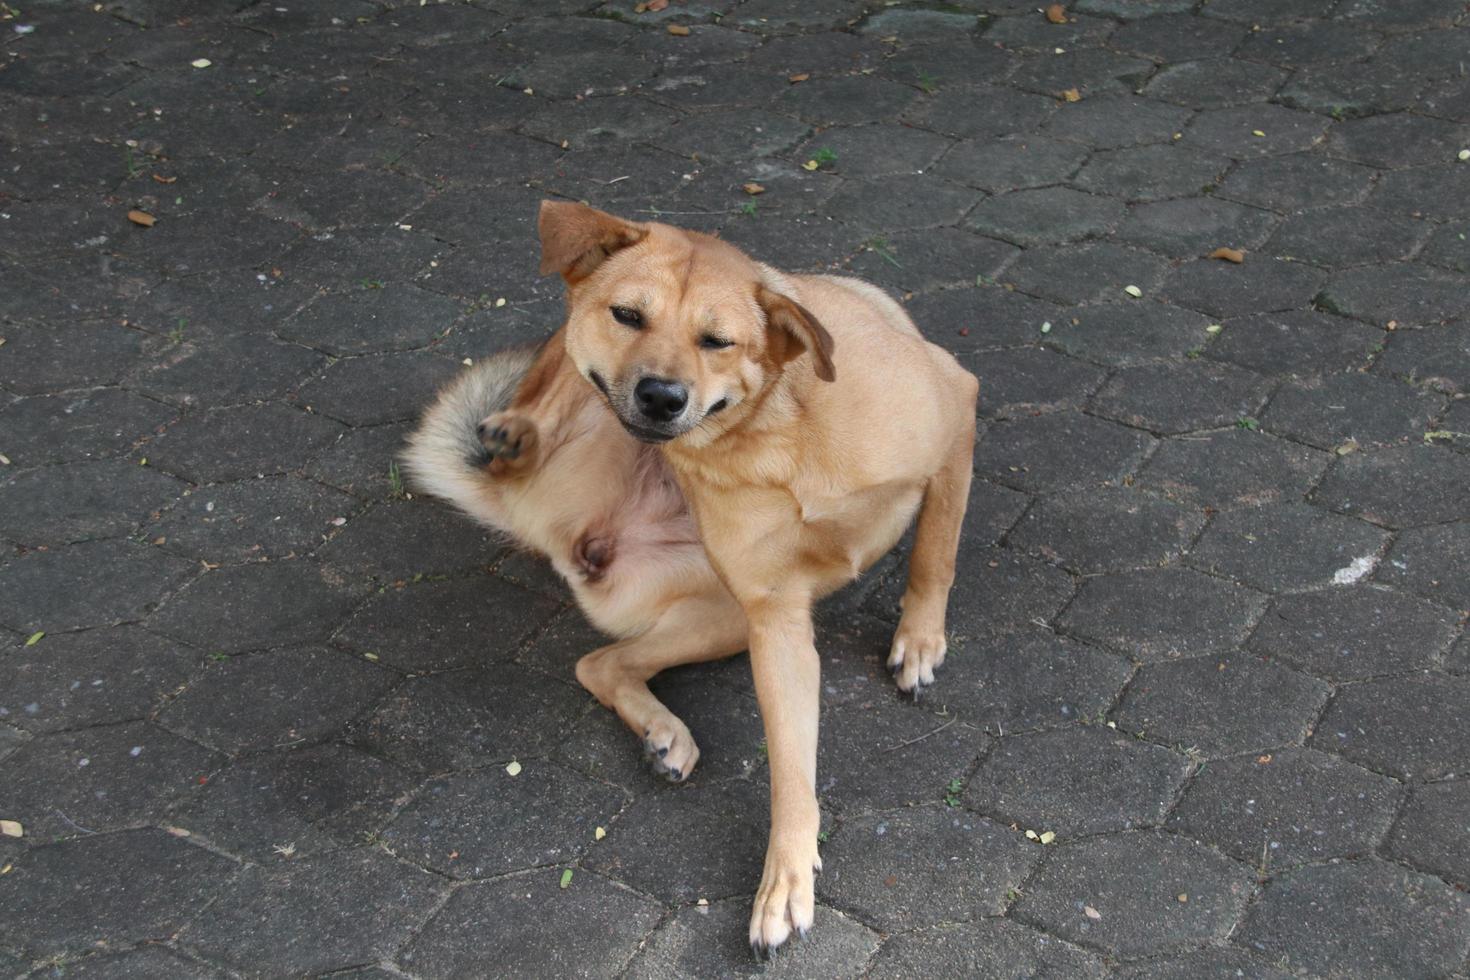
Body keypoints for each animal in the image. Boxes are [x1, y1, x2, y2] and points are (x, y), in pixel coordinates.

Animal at [408, 202, 976, 952]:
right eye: (627, 315)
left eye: (718, 341)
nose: (660, 396)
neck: (769, 434)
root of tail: (557, 519)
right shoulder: (774, 622)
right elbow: (790, 767)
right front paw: (786, 879)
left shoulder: (957, 411)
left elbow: (935, 550)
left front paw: (919, 640)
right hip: (720, 605)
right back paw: (514, 432)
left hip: (719, 616)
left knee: (602, 659)